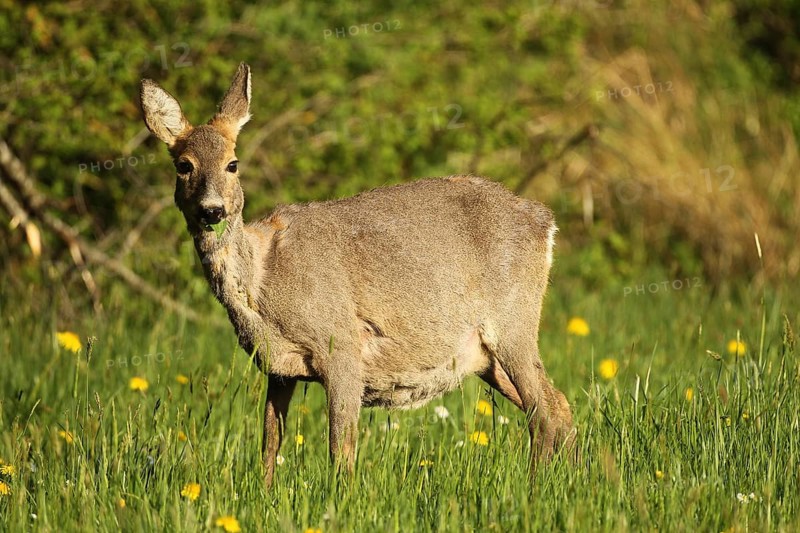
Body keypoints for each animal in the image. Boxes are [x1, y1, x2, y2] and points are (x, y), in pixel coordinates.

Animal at [140, 63, 576, 487]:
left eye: (233, 163)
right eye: (184, 166)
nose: (212, 210)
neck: (263, 283)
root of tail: (545, 222)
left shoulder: (341, 344)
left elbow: (340, 449)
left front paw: (341, 500)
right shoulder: (279, 369)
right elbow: (269, 443)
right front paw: (264, 494)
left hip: (513, 320)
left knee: (544, 411)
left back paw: (533, 489)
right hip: (485, 355)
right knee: (560, 405)